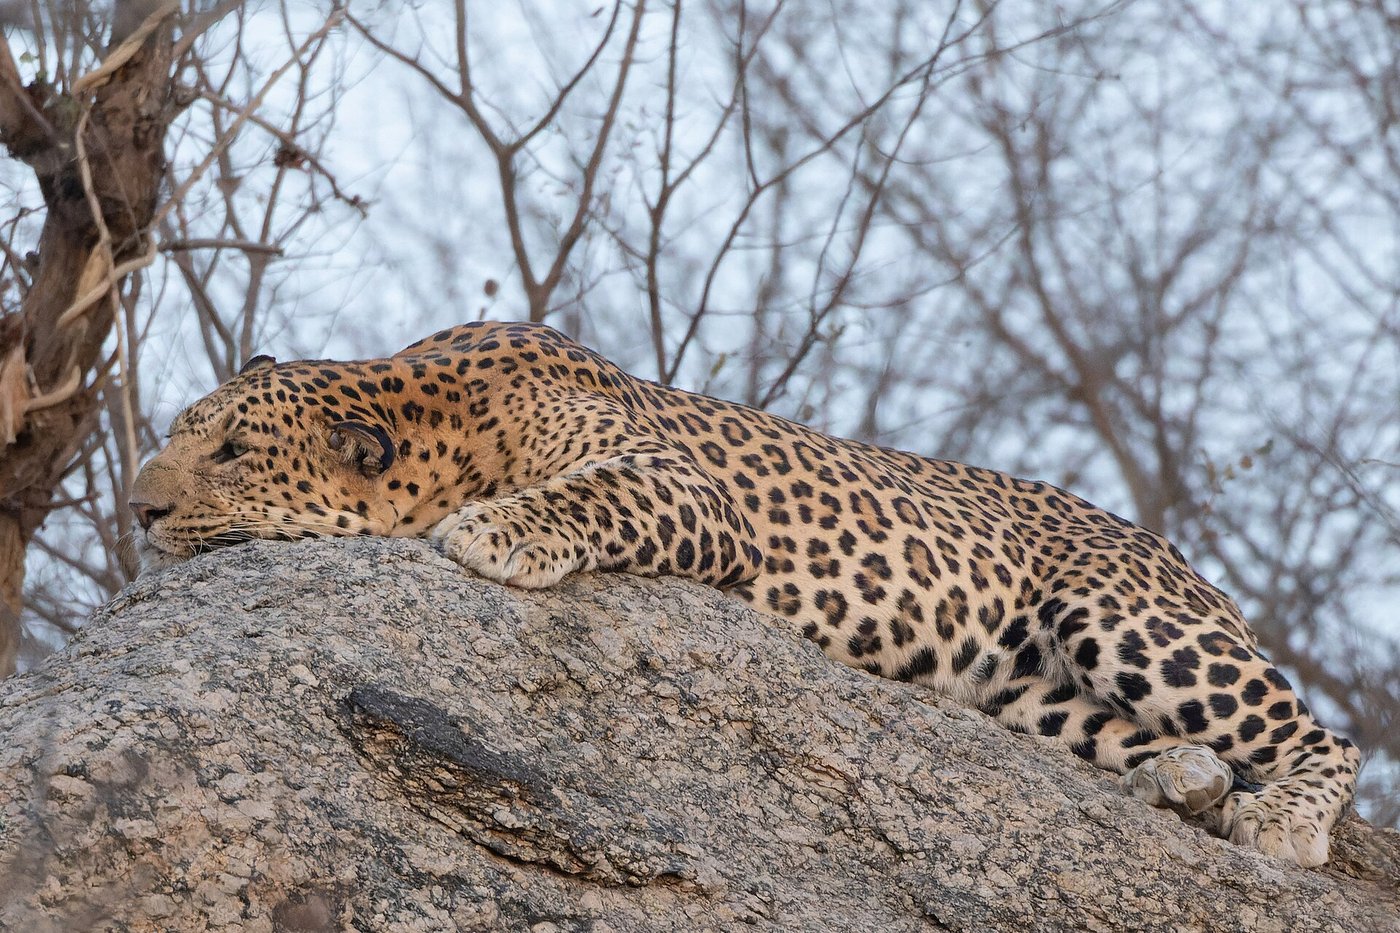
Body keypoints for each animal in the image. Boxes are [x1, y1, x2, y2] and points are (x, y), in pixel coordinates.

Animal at [129, 320, 1361, 867]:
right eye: (177, 434)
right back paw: (1186, 785)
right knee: (1131, 736)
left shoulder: (684, 486)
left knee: (1325, 736)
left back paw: (1281, 826)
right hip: (1026, 692)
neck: (434, 408)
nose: (136, 509)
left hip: (1120, 616)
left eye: (232, 451)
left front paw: (492, 533)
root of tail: (1176, 556)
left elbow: (591, 493)